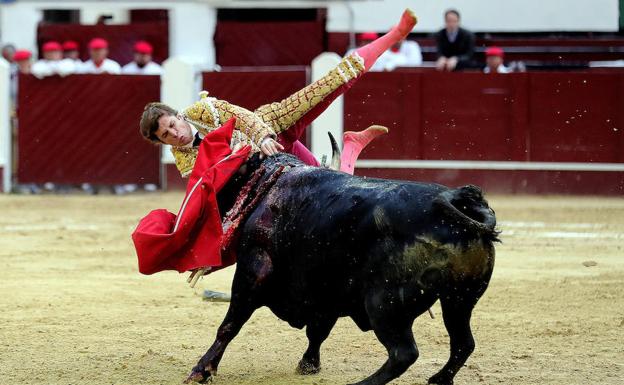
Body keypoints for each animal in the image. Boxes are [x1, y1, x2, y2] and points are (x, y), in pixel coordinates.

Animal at [184, 153, 498, 384]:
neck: (270, 185)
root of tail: (456, 201)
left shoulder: (253, 270)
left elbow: (230, 325)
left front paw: (201, 370)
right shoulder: (325, 291)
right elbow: (318, 331)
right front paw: (308, 365)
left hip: (384, 304)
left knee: (404, 353)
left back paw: (364, 384)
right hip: (460, 299)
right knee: (463, 343)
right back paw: (439, 379)